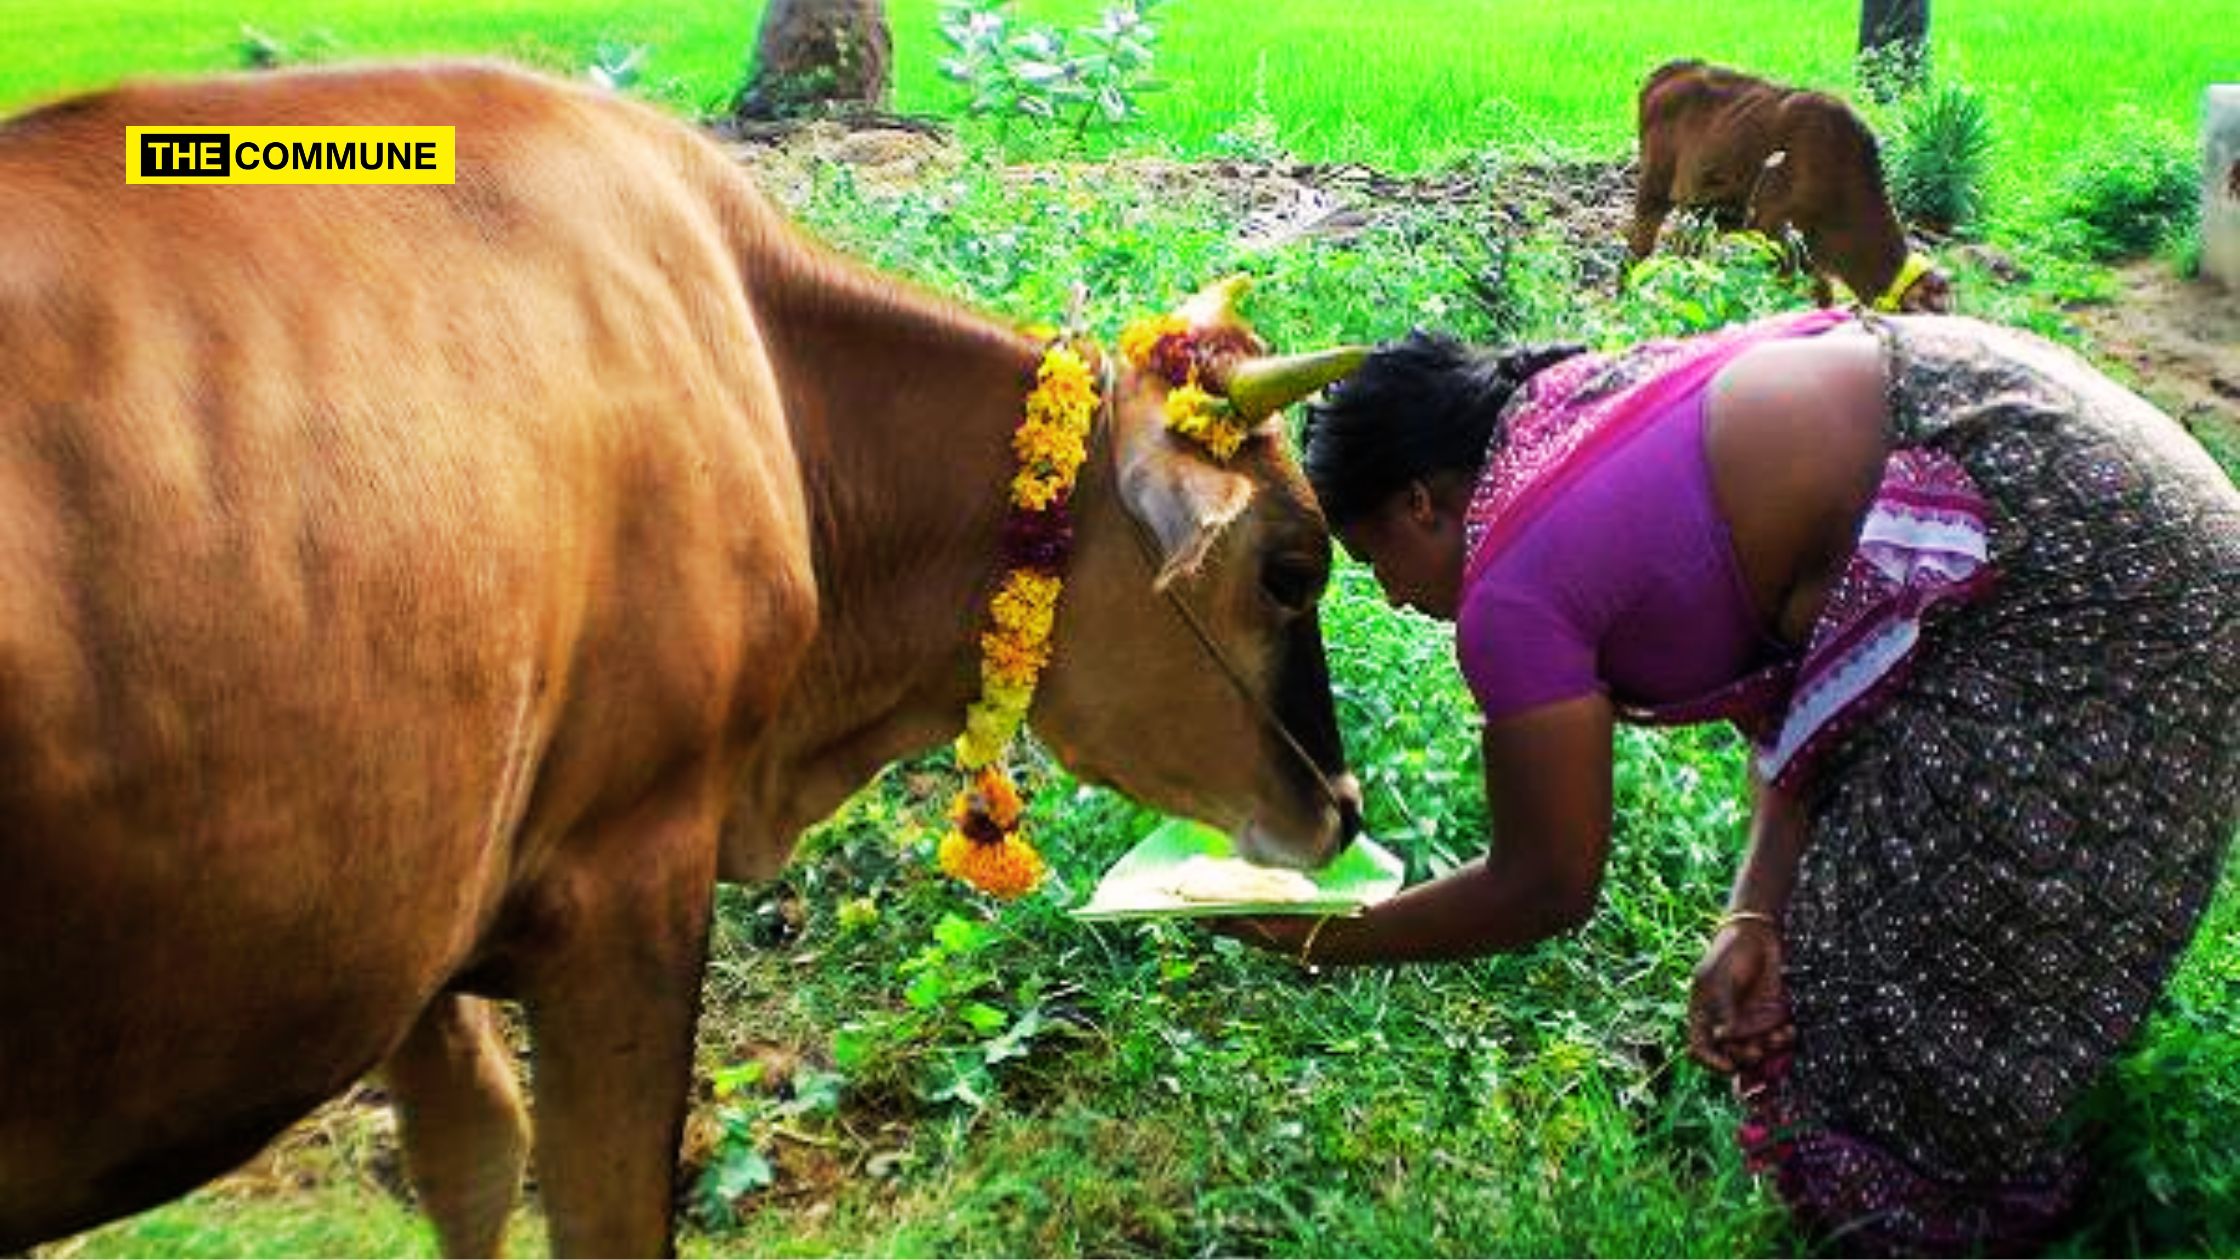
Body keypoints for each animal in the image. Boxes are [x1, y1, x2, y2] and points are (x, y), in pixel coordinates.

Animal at [1621, 56, 1953, 313]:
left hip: (1701, 210)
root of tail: (1671, 69)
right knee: (1637, 249)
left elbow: (1821, 293)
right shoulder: (1770, 224)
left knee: (1687, 251)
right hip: (1652, 189)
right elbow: (1793, 283)